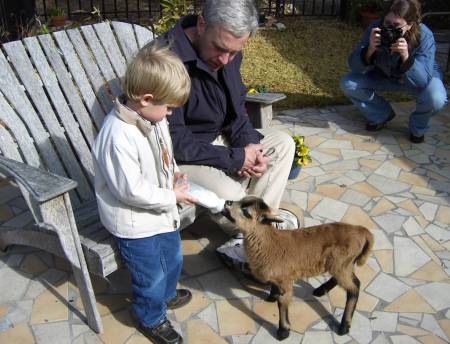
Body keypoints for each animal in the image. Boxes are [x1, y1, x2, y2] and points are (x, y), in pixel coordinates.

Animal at [221, 195, 372, 340]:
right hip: (342, 264)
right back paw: (320, 291)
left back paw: (344, 327)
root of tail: (362, 231)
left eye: (246, 211)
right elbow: (275, 291)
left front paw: (283, 332)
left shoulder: (285, 280)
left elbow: (282, 303)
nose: (227, 202)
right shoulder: (279, 277)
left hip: (342, 263)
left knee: (354, 287)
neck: (268, 243)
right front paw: (271, 298)